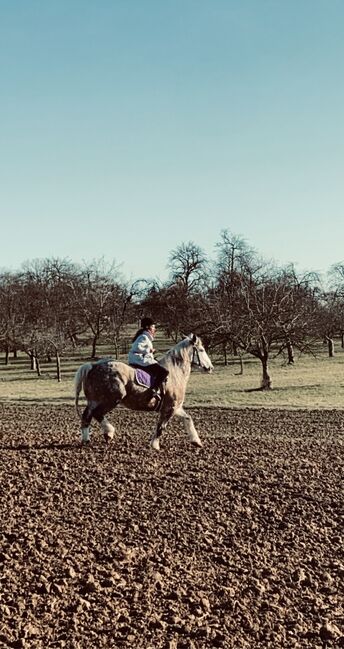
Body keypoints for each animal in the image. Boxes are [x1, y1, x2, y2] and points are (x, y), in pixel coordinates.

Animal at [75, 332, 214, 448]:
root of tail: (92, 366)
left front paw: (196, 441)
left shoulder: (175, 407)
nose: (211, 368)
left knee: (87, 415)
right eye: (201, 350)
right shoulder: (169, 408)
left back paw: (87, 439)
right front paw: (155, 446)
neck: (175, 373)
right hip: (111, 400)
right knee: (96, 414)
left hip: (94, 401)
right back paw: (108, 433)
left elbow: (187, 419)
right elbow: (161, 427)